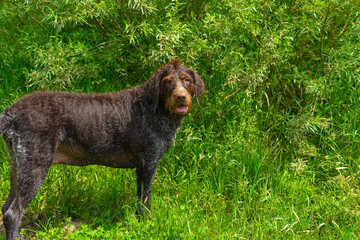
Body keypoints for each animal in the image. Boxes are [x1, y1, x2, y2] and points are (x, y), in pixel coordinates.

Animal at [0, 58, 204, 240]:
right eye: (167, 81)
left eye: (187, 79)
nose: (180, 97)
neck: (153, 107)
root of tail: (12, 110)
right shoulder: (149, 162)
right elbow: (146, 201)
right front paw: (147, 226)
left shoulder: (141, 166)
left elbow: (139, 200)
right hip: (35, 165)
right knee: (13, 213)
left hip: (18, 165)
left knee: (5, 207)